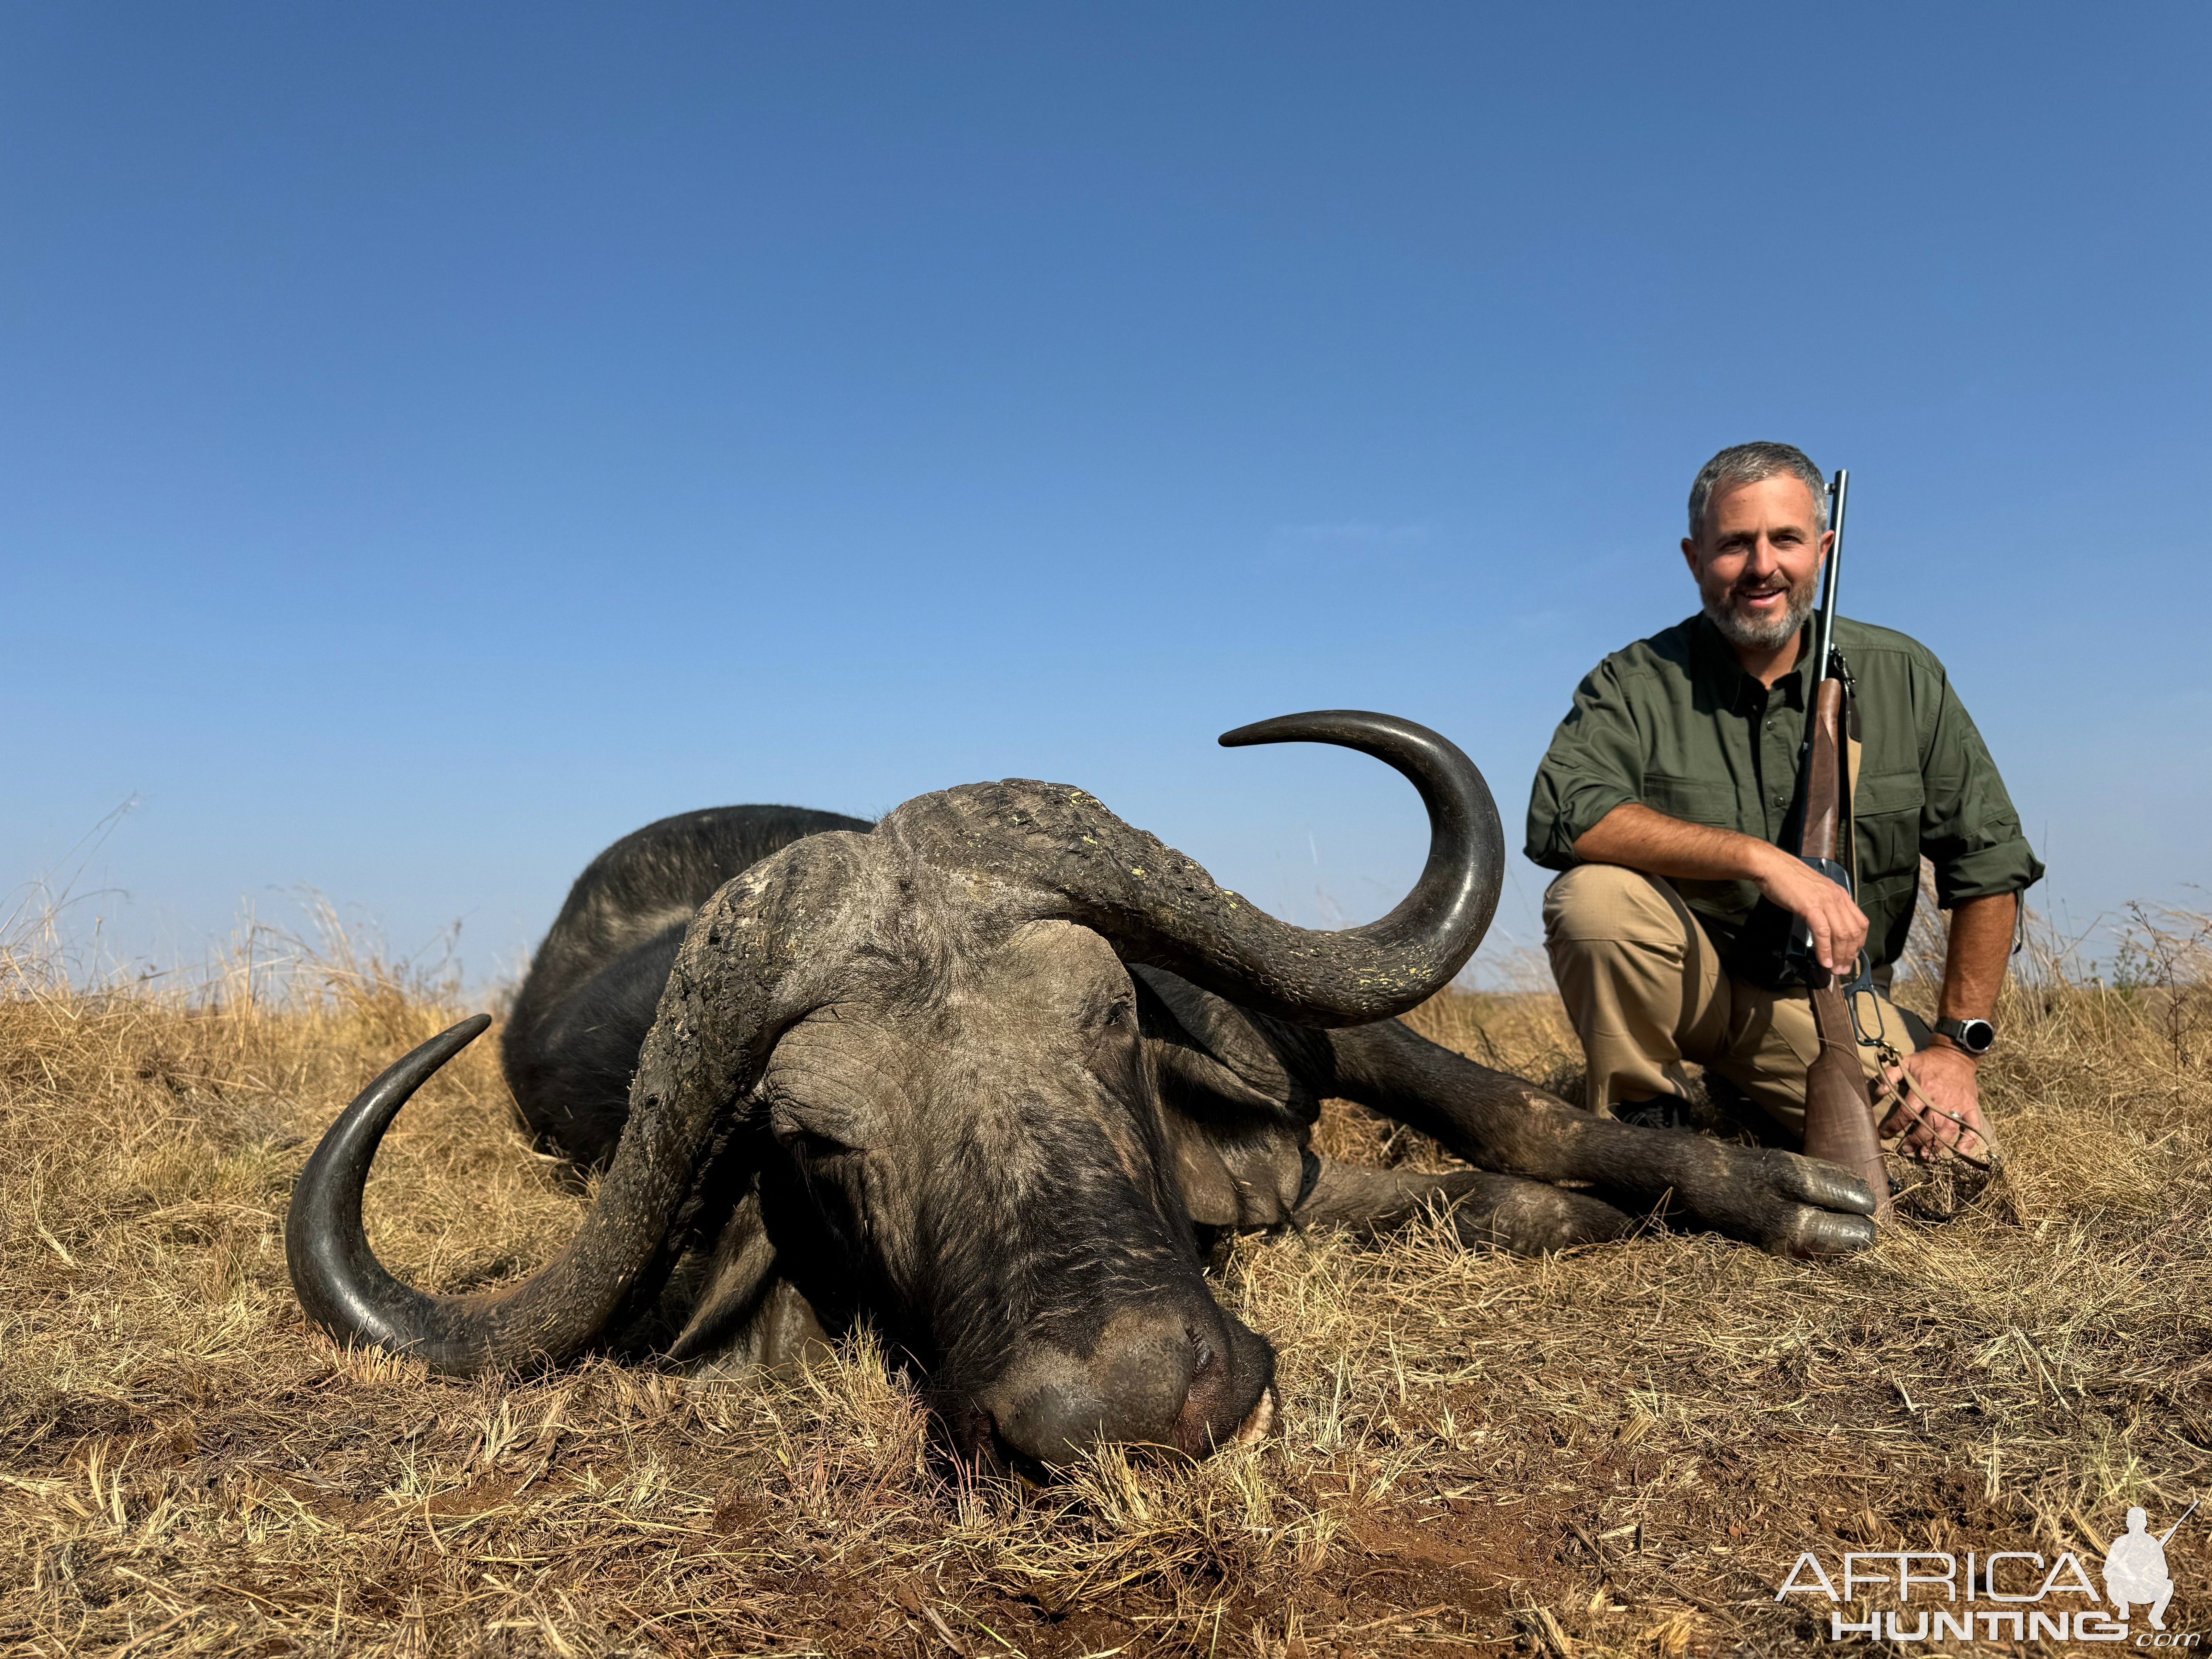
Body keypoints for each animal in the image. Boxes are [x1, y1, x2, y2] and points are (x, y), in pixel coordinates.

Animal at [285, 708, 1875, 1477]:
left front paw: (1796, 1192)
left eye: (1107, 1016)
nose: (1129, 1401)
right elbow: (1474, 1195)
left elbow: (1509, 1111)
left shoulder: (1307, 1033)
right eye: (817, 1141)